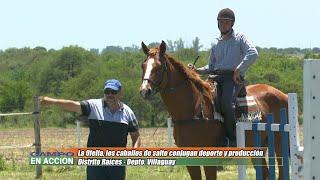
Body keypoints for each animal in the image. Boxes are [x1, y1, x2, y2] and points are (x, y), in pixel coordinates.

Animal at [139, 40, 288, 180]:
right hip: (258, 148)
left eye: (159, 66)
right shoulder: (190, 161)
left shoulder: (209, 160)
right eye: (143, 65)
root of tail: (283, 94)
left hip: (280, 145)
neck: (194, 109)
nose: (145, 91)